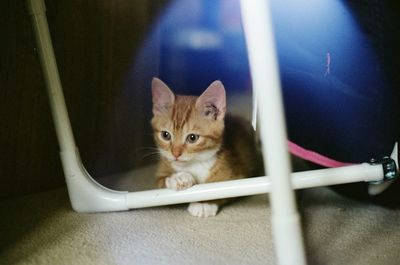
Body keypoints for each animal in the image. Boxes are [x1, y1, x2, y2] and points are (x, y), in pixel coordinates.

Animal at [150, 77, 262, 217]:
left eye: (192, 138)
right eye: (165, 135)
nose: (175, 153)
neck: (195, 164)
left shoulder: (238, 176)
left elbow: (218, 189)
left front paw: (205, 203)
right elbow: (161, 184)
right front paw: (178, 178)